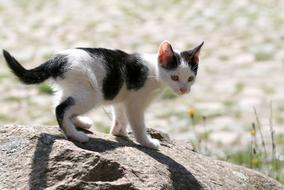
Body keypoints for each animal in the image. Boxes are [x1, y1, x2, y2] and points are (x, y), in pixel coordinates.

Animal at [3, 40, 204, 149]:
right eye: (175, 77)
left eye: (190, 78)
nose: (184, 90)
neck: (154, 72)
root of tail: (58, 59)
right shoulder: (135, 103)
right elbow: (138, 125)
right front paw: (147, 142)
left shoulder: (122, 99)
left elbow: (120, 116)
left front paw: (118, 132)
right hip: (91, 93)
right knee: (60, 108)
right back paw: (76, 135)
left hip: (76, 88)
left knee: (60, 104)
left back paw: (79, 123)